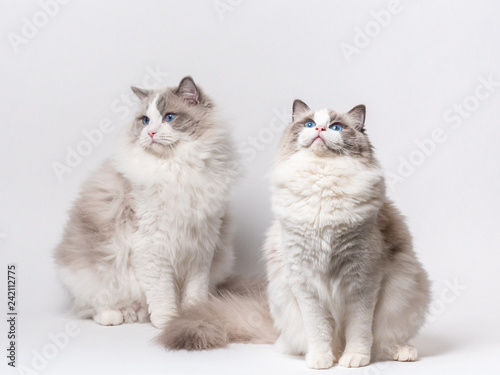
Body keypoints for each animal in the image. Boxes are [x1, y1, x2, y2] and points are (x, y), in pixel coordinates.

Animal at [53, 77, 237, 328]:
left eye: (169, 117)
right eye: (145, 120)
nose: (150, 132)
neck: (176, 167)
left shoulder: (200, 245)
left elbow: (195, 291)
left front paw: (191, 313)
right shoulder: (151, 245)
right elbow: (162, 293)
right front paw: (167, 321)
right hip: (91, 276)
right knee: (91, 306)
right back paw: (114, 316)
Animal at [264, 100, 432, 370]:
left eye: (336, 127)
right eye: (309, 124)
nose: (320, 129)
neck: (323, 181)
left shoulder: (362, 281)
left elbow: (359, 330)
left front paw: (354, 359)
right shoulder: (306, 284)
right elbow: (318, 330)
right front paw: (321, 360)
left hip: (404, 293)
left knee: (387, 341)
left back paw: (403, 353)